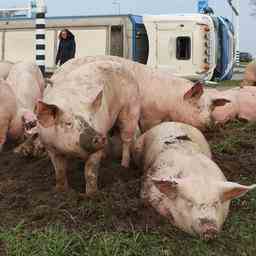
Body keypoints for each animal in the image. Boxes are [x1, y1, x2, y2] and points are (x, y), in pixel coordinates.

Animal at [35, 60, 140, 194]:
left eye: (91, 119)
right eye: (68, 123)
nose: (99, 137)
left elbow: (90, 172)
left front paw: (91, 194)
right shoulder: (50, 147)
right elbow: (59, 170)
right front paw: (61, 190)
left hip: (131, 109)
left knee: (126, 140)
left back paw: (124, 166)